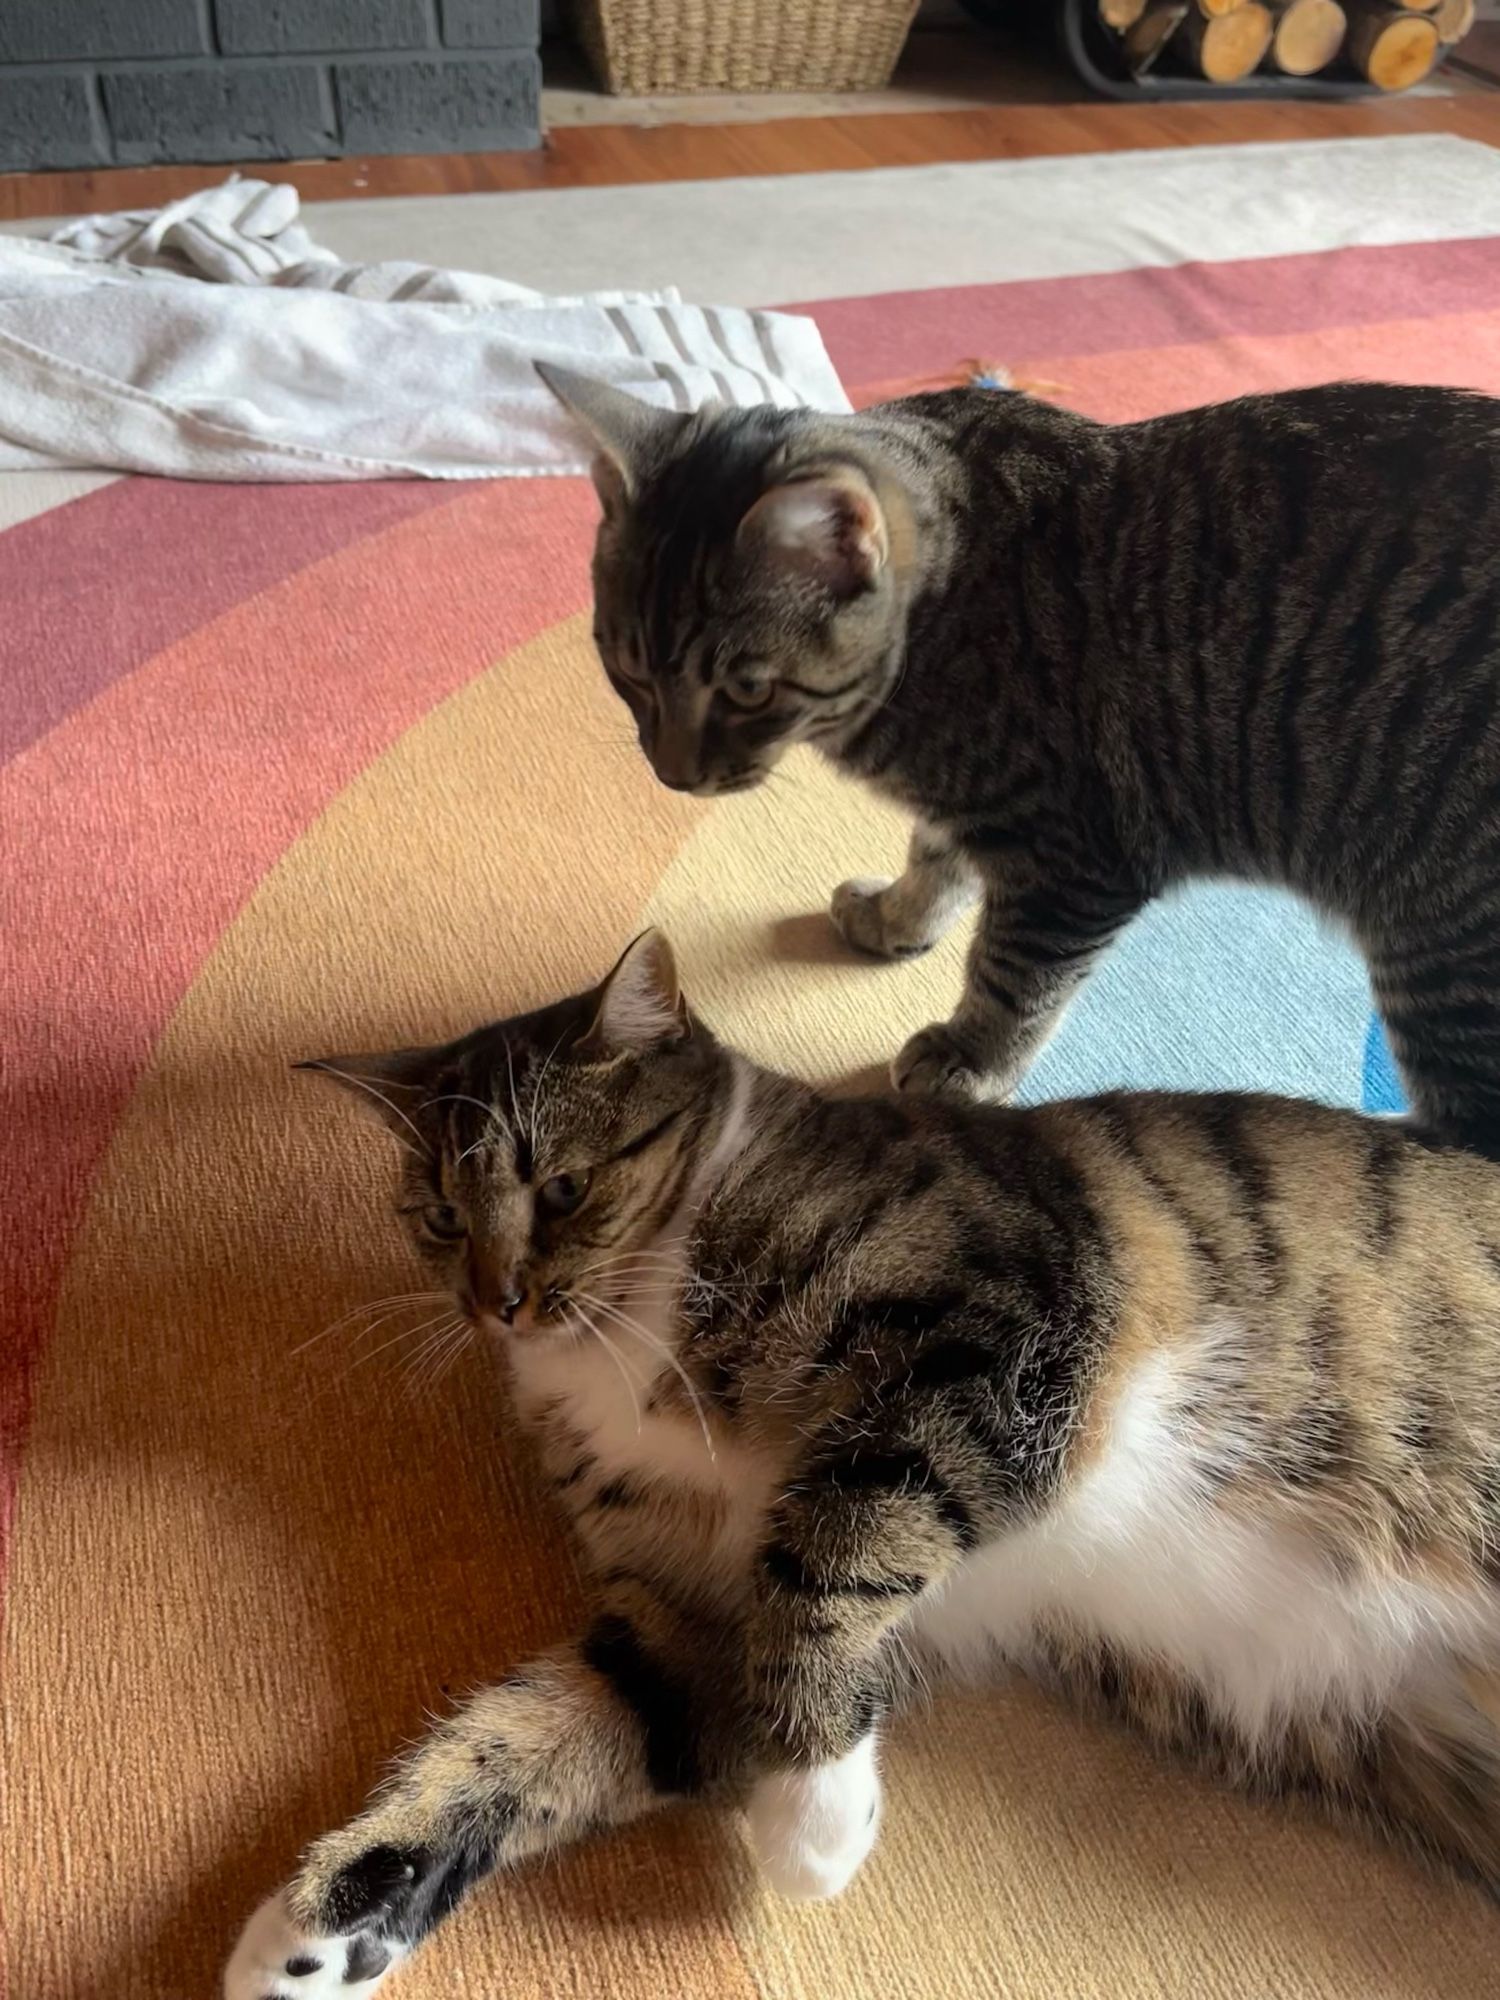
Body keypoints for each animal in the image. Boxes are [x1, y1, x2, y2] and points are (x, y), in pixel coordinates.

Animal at [223, 928, 1500, 1992]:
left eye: (565, 1185)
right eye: (440, 1215)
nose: (496, 1301)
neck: (635, 1324)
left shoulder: (1000, 1336)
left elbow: (832, 1547)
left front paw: (813, 1814)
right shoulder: (683, 1614)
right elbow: (526, 1738)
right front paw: (315, 1927)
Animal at [540, 368, 1500, 1160]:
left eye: (745, 689)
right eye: (626, 669)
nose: (672, 774)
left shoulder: (1073, 861)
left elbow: (1011, 976)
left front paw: (970, 1058)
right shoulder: (976, 812)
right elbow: (935, 860)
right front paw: (898, 916)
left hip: (1446, 943)